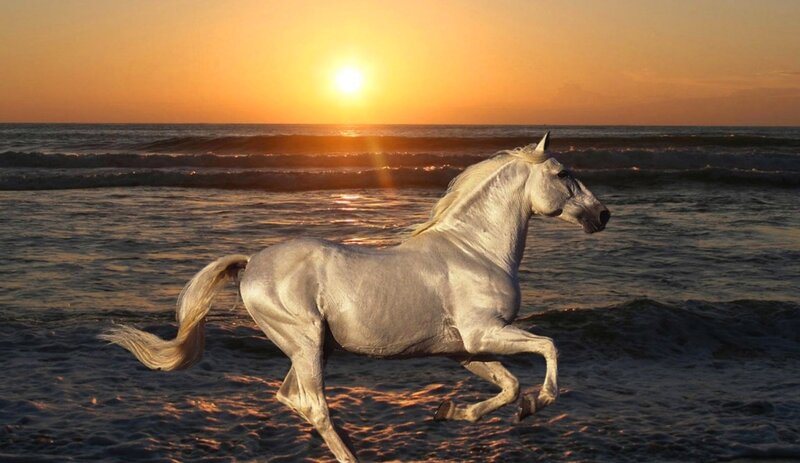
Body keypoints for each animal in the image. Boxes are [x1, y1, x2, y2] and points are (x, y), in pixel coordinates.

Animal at [101, 132, 610, 462]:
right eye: (564, 172)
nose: (602, 214)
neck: (474, 250)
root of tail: (252, 263)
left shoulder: (464, 349)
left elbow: (508, 387)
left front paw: (451, 411)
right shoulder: (485, 333)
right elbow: (548, 350)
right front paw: (538, 405)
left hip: (310, 348)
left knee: (292, 399)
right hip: (306, 342)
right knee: (313, 406)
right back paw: (352, 454)